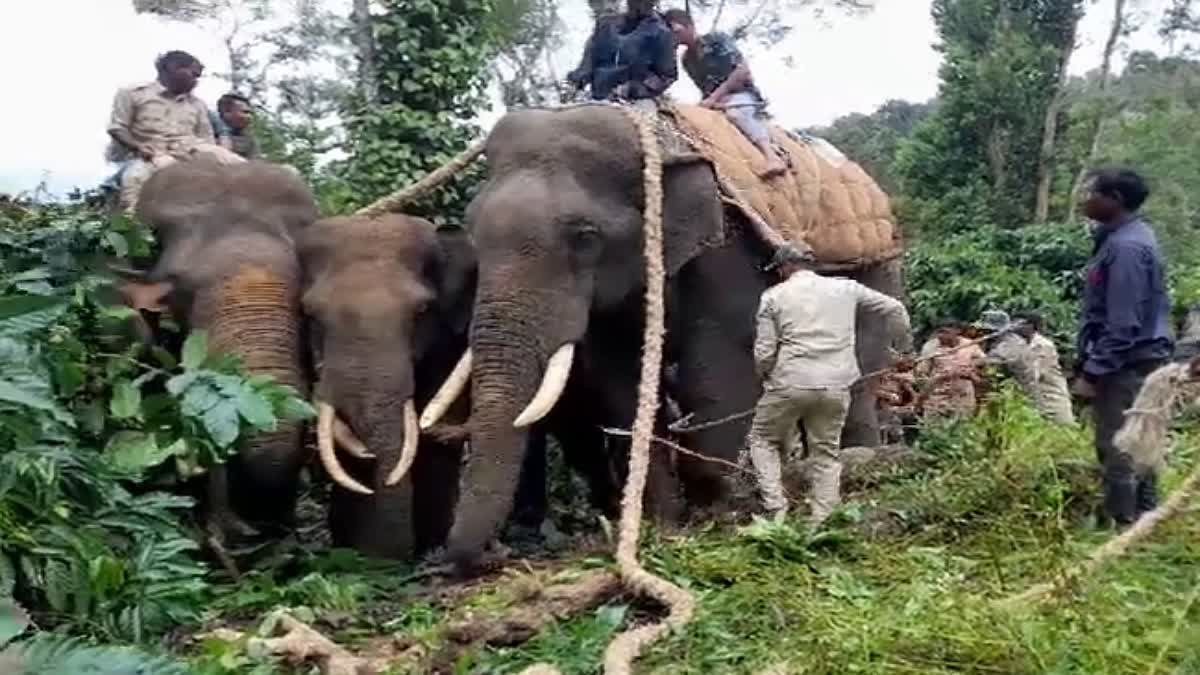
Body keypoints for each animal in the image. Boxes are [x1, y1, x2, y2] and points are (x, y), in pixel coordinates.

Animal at [427, 103, 902, 566]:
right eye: (473, 233)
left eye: (585, 237)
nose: (486, 556)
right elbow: (624, 385)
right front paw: (664, 521)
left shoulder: (726, 248)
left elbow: (718, 368)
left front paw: (712, 514)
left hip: (875, 264)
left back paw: (857, 461)